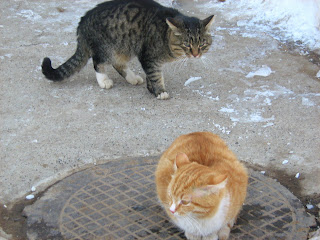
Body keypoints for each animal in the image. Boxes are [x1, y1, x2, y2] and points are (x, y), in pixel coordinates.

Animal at [41, 0, 214, 99]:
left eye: (202, 44)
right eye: (187, 44)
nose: (196, 54)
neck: (165, 35)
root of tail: (83, 20)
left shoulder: (149, 58)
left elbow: (152, 75)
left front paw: (151, 88)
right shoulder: (148, 56)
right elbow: (155, 75)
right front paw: (159, 91)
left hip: (123, 48)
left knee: (118, 64)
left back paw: (132, 78)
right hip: (107, 48)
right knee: (98, 62)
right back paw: (104, 80)